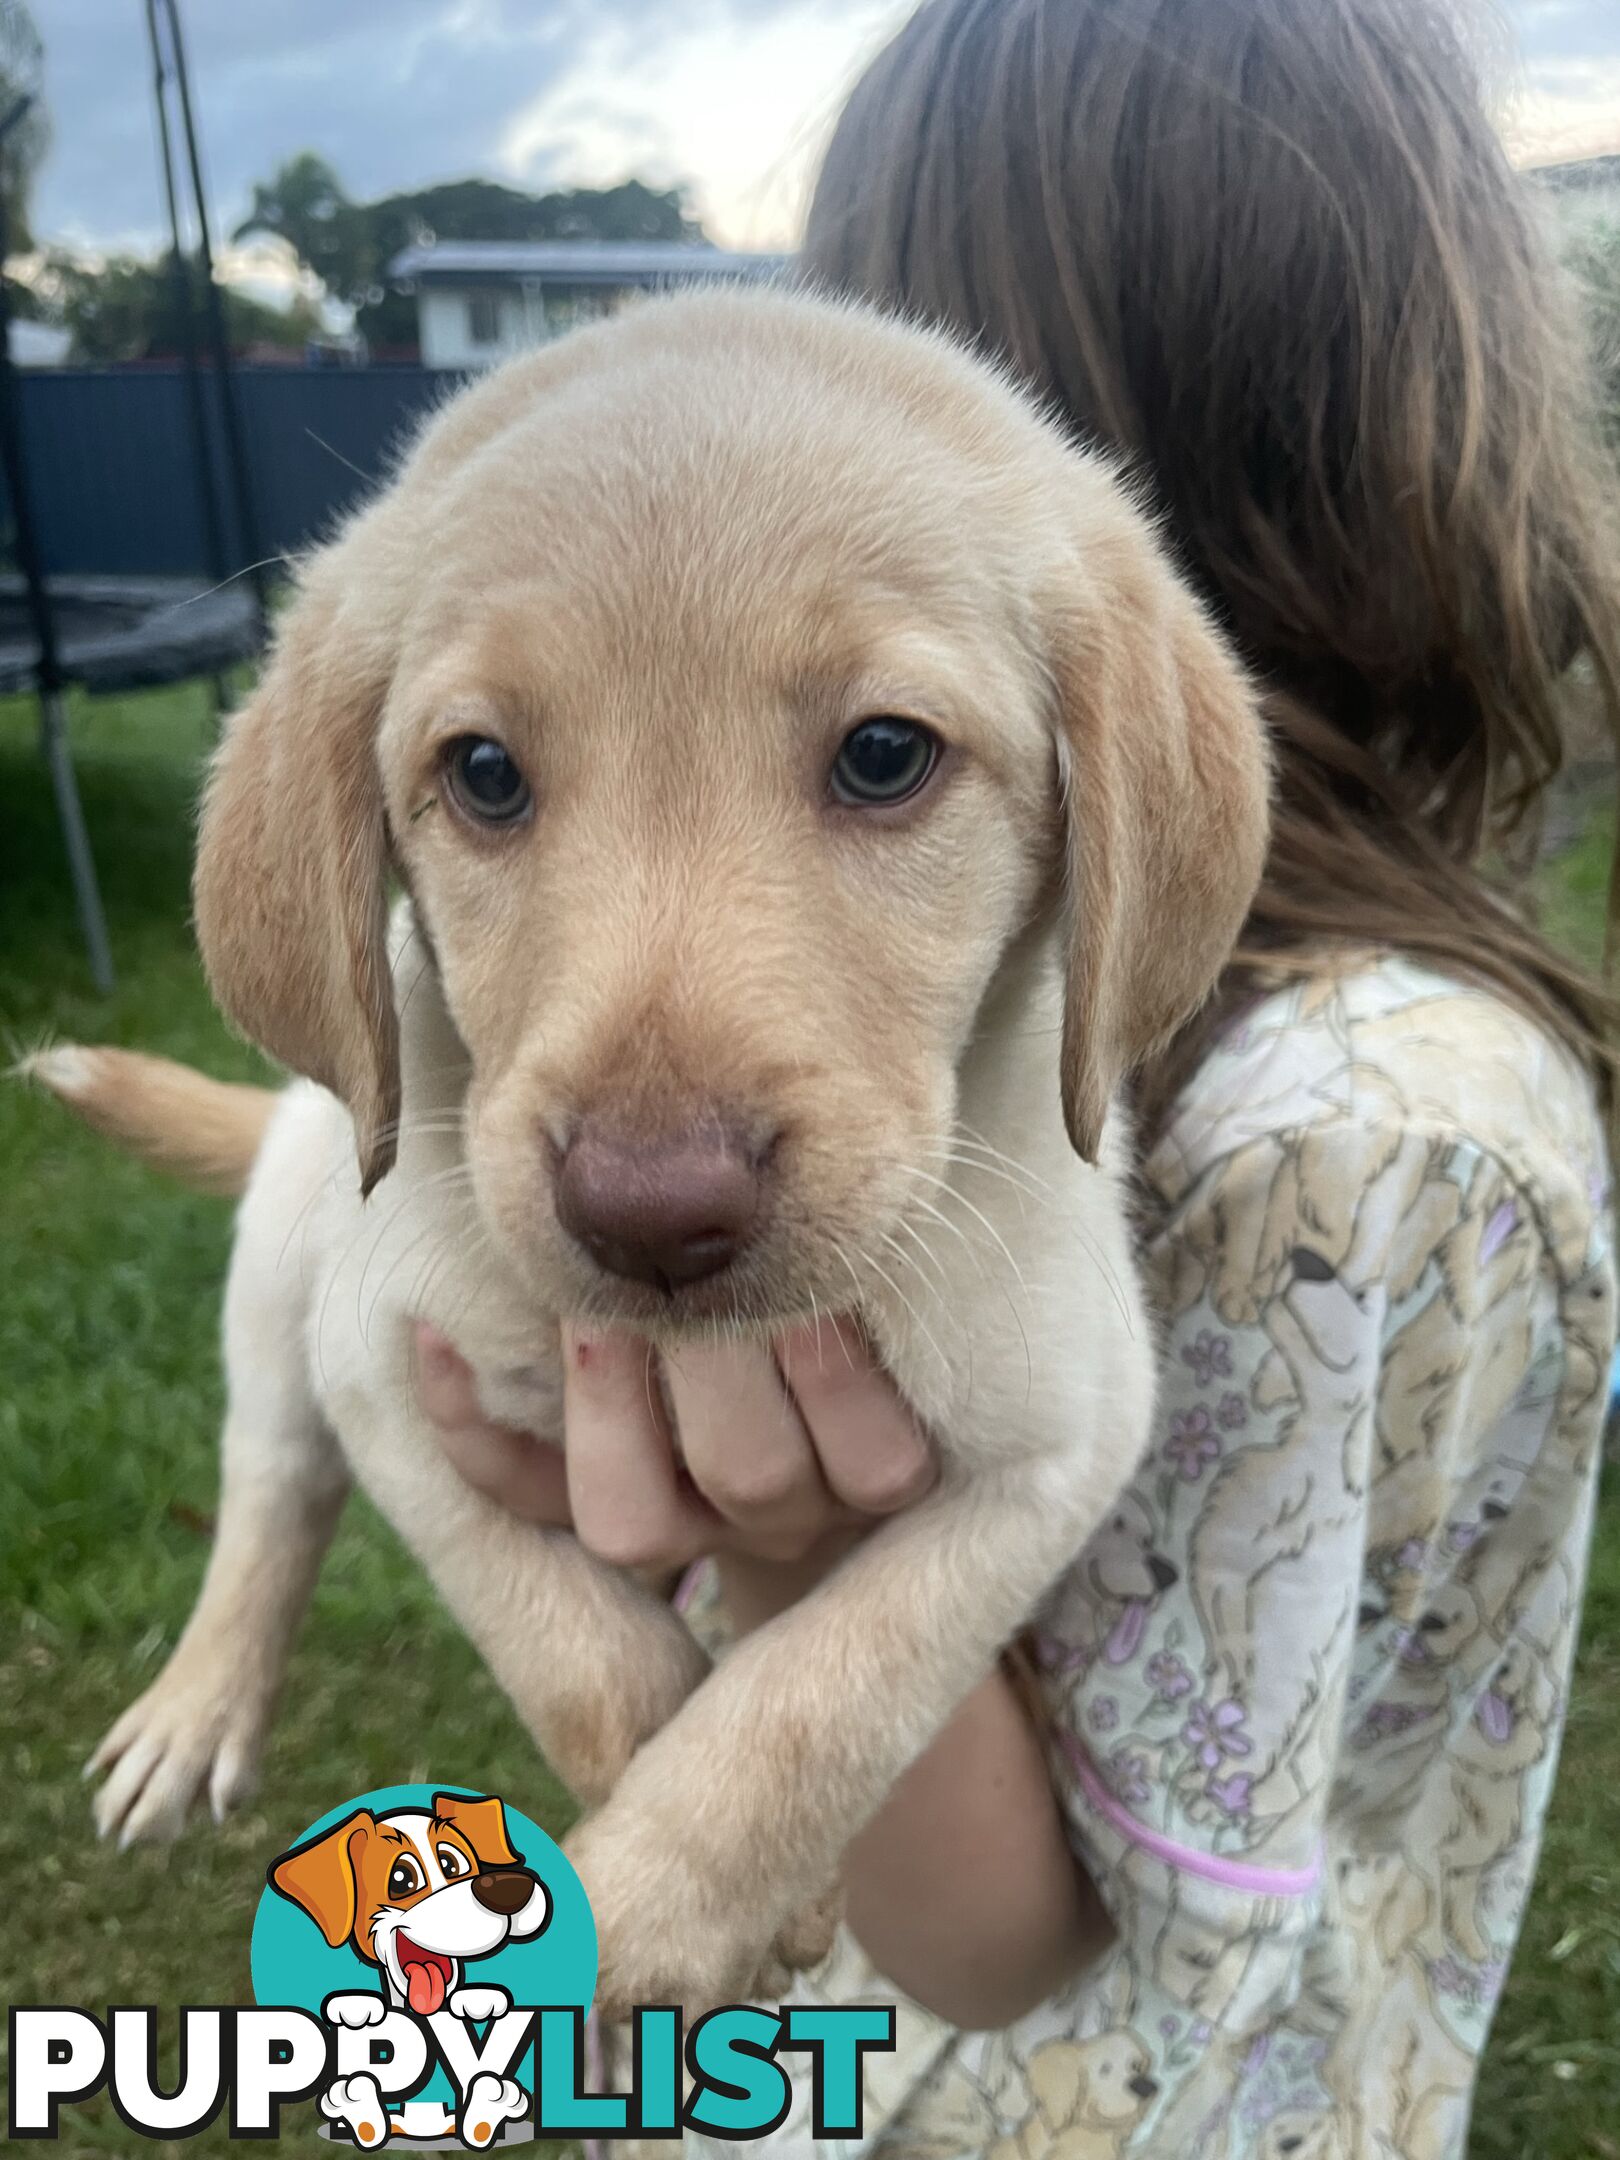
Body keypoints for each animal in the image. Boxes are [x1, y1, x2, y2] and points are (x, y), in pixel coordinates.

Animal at [31, 282, 1270, 2004]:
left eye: (886, 755)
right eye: (484, 774)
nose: (652, 1213)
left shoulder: (1060, 1444)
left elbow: (822, 1692)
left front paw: (670, 1903)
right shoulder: (382, 1364)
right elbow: (583, 1651)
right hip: (287, 1261)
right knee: (269, 1487)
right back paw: (198, 1706)